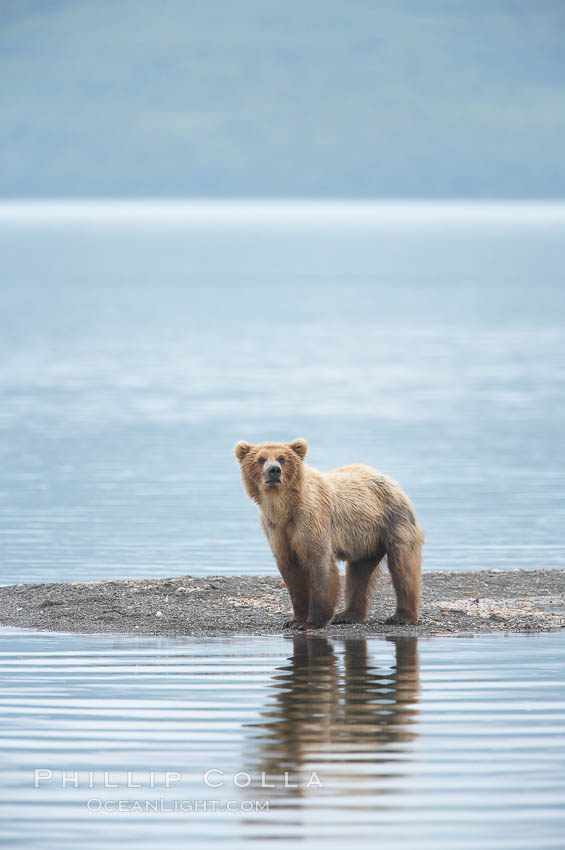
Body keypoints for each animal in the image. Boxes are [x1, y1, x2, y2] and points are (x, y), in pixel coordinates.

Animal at [234, 438, 424, 628]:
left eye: (282, 458)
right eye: (261, 459)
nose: (274, 470)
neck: (285, 508)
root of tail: (390, 480)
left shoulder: (311, 519)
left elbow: (319, 564)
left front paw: (310, 622)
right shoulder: (276, 529)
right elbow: (291, 571)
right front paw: (295, 619)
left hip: (394, 520)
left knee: (403, 566)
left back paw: (401, 616)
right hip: (364, 538)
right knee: (360, 572)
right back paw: (348, 615)